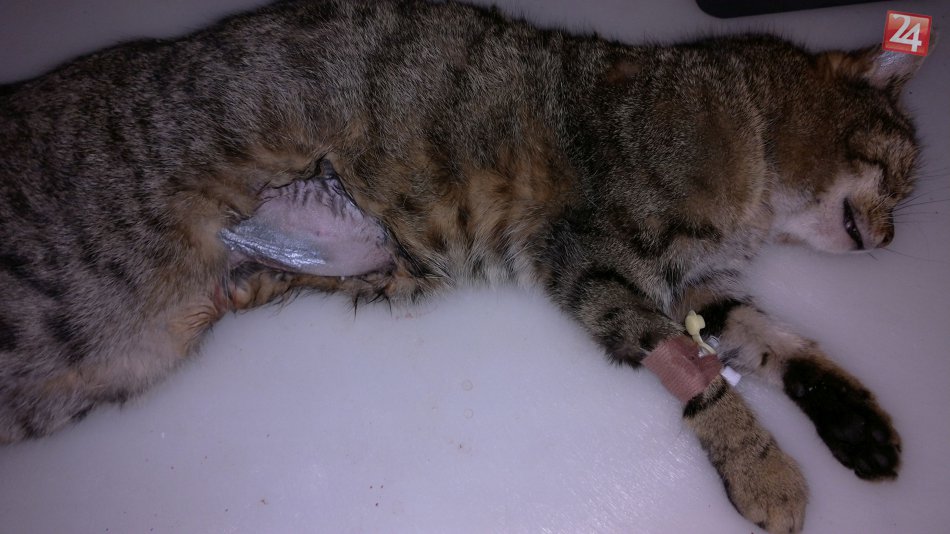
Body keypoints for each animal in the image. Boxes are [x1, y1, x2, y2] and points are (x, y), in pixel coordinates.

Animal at [0, 0, 928, 532]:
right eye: (898, 177)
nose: (889, 239)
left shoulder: (695, 282)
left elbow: (774, 341)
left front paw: (856, 425)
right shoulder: (594, 261)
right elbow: (700, 374)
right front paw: (765, 470)